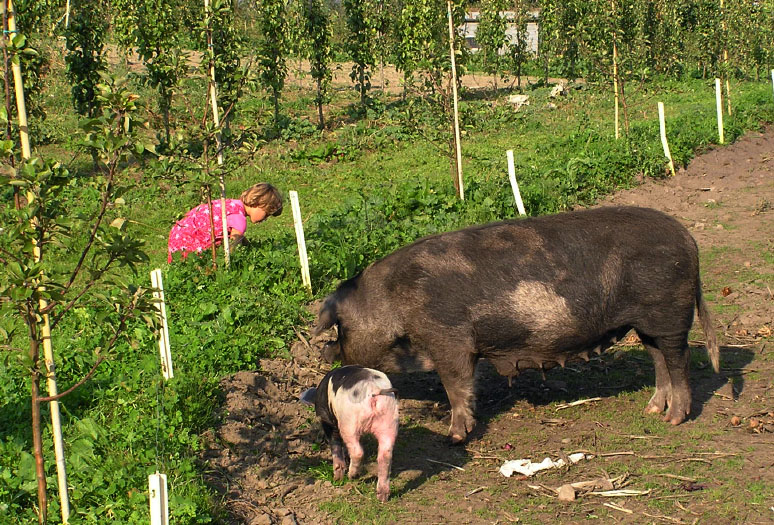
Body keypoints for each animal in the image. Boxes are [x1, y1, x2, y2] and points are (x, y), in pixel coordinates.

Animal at [314, 205, 720, 442]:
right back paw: (652, 410)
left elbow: (456, 384)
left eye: (339, 328)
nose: (327, 357)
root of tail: (689, 239)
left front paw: (455, 436)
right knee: (659, 359)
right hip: (646, 323)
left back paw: (674, 420)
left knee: (679, 359)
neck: (394, 302)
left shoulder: (448, 337)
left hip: (669, 314)